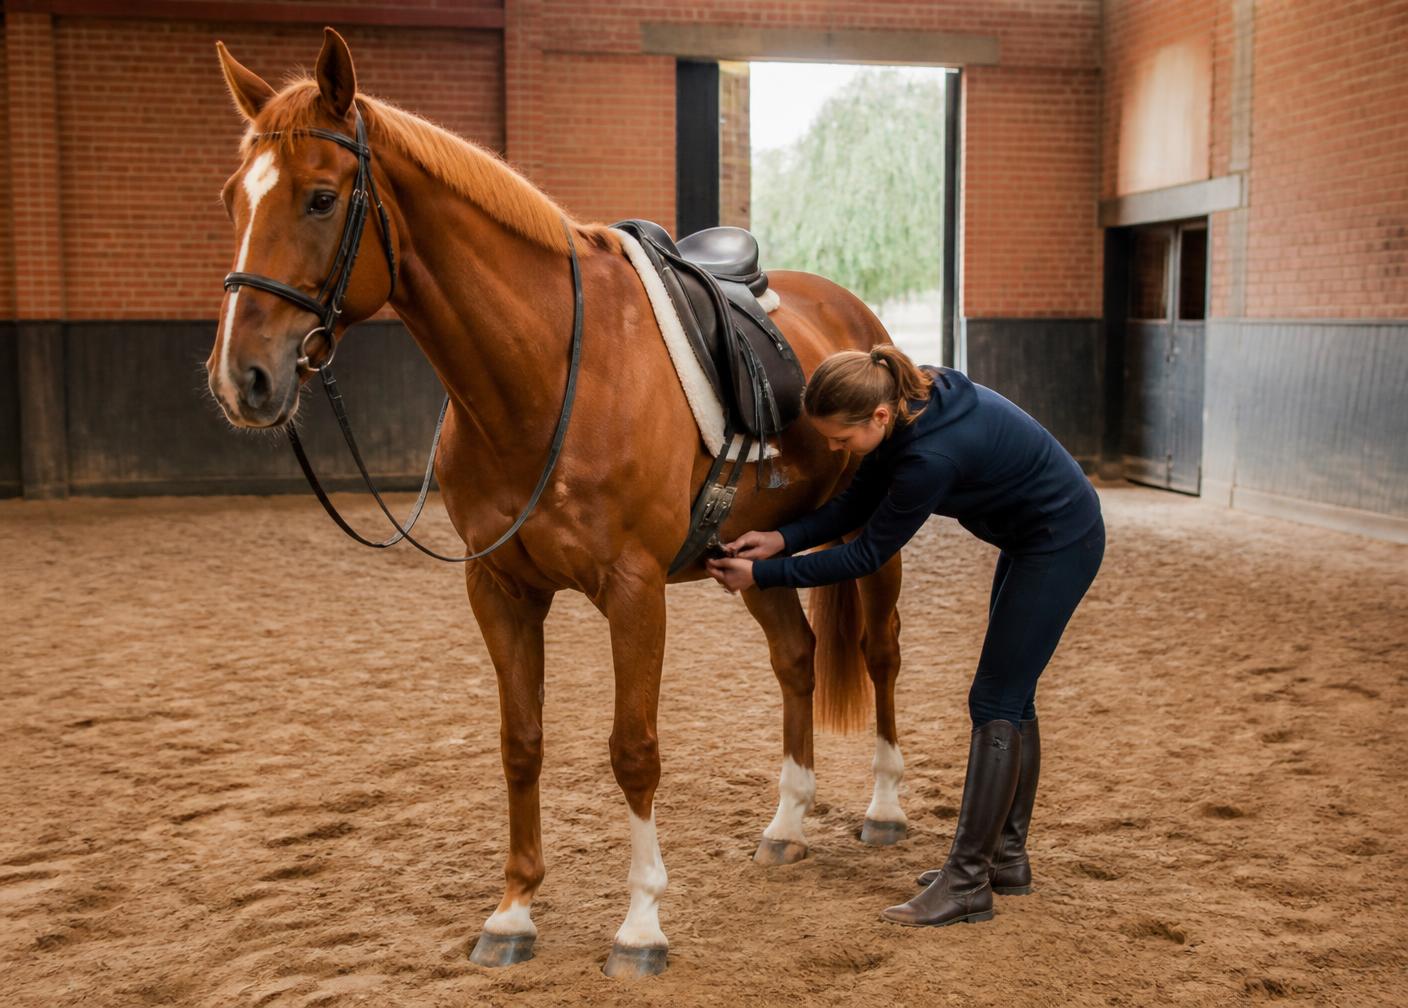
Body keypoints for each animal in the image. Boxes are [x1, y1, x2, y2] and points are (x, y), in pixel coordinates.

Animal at [208, 28, 909, 978]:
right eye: (232, 200)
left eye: (320, 198)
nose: (241, 379)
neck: (545, 373)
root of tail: (853, 317)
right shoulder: (500, 590)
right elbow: (521, 743)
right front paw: (512, 911)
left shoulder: (635, 593)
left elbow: (634, 750)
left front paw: (641, 924)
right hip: (751, 554)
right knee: (796, 658)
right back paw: (788, 824)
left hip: (876, 543)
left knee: (879, 654)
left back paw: (884, 810)